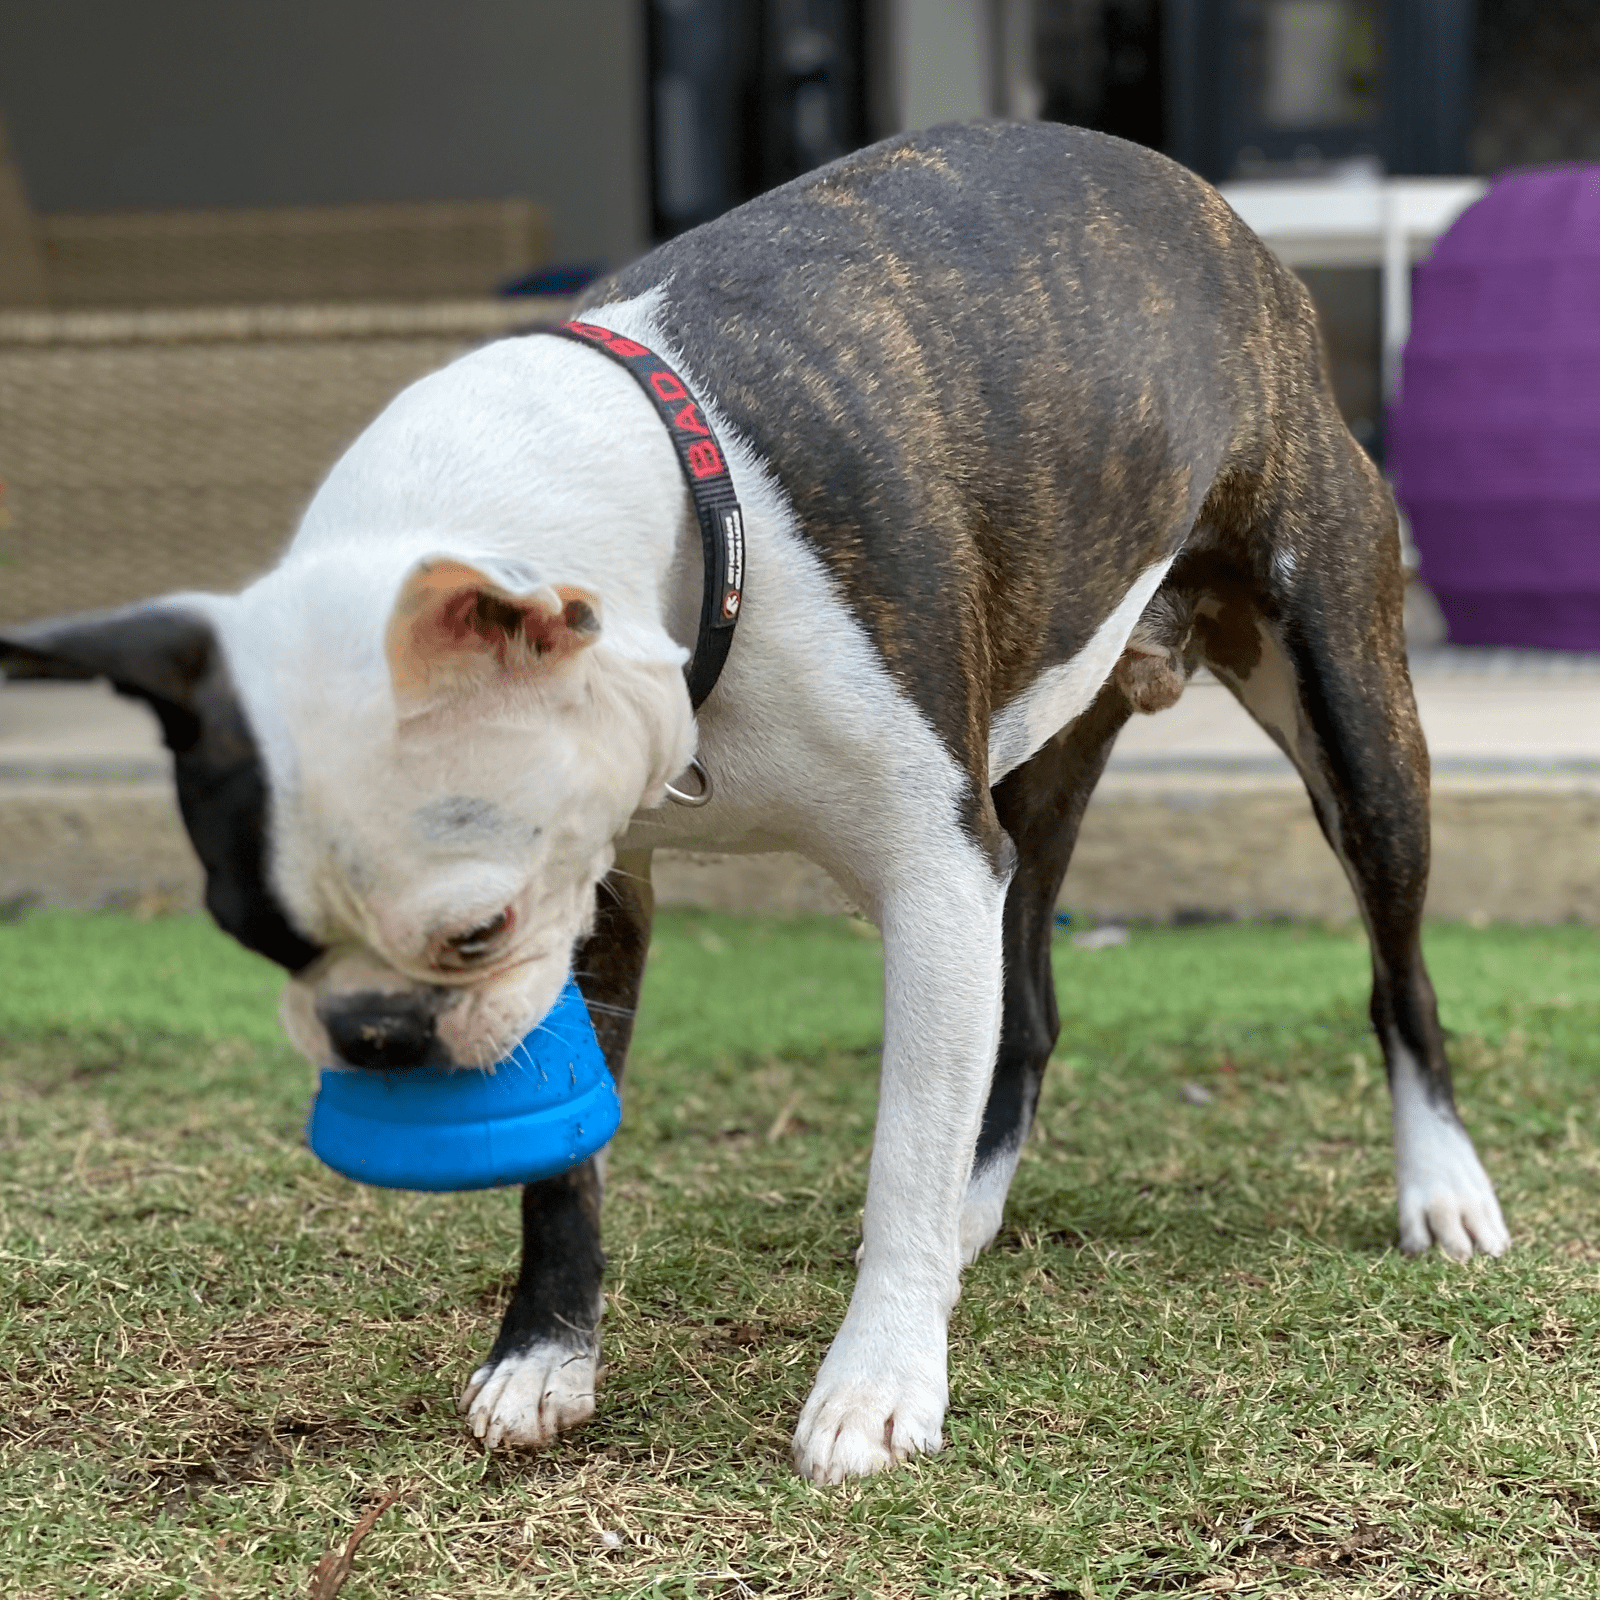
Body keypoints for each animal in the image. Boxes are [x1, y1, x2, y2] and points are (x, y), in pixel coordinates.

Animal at [0, 124, 1504, 1484]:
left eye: (474, 929)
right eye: (261, 940)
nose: (375, 1036)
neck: (680, 525)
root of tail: (1234, 230)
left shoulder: (928, 874)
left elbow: (896, 1147)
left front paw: (879, 1381)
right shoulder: (610, 887)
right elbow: (565, 1161)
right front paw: (544, 1355)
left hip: (1353, 723)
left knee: (1399, 971)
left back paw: (1439, 1184)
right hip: (1037, 759)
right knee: (1025, 1000)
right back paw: (976, 1204)